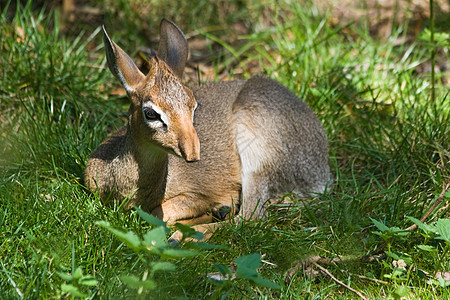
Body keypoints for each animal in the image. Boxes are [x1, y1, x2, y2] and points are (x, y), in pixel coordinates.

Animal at [85, 18, 330, 239]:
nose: (192, 152)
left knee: (251, 217)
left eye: (193, 106)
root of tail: (321, 171)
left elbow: (160, 214)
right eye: (151, 113)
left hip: (256, 150)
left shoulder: (202, 193)